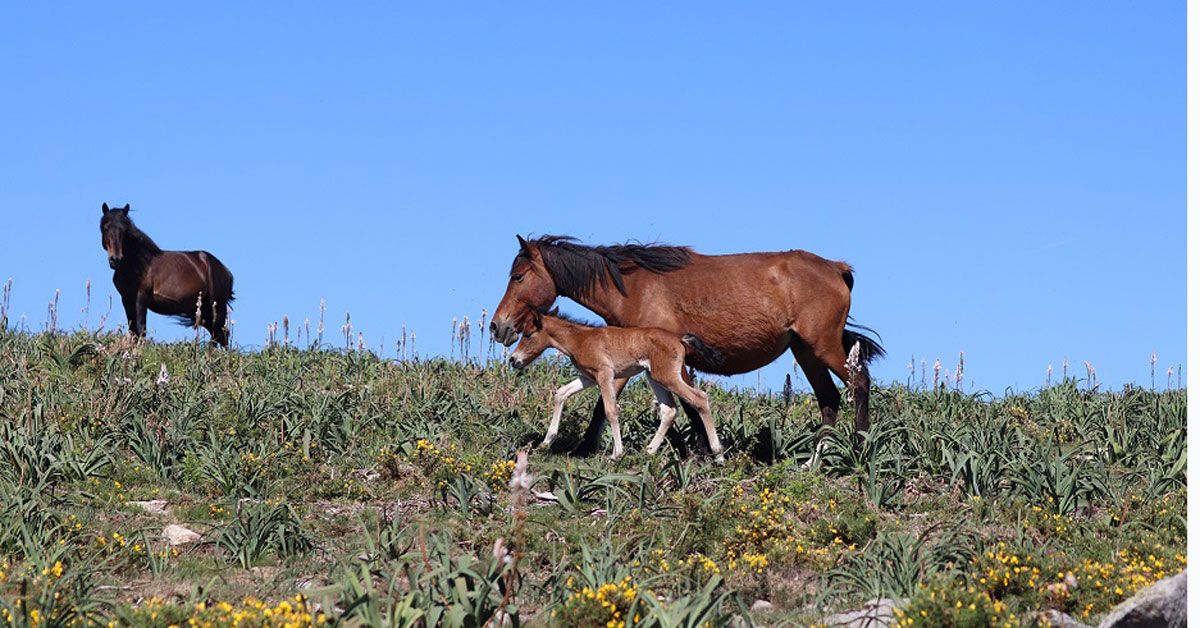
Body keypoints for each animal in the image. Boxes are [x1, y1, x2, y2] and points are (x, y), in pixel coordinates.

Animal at [98, 204, 234, 345]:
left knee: (220, 335)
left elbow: (141, 330)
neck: (137, 264)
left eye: (125, 230)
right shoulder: (126, 299)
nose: (115, 259)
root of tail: (226, 271)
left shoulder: (141, 297)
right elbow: (133, 331)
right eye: (105, 227)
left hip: (217, 307)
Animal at [506, 309, 720, 461]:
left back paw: (718, 454)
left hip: (667, 377)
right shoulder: (589, 377)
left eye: (528, 334)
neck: (580, 339)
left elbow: (610, 410)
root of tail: (680, 339)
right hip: (655, 377)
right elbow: (561, 393)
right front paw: (546, 442)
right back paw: (649, 451)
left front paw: (617, 454)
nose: (513, 360)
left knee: (700, 398)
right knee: (669, 410)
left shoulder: (604, 374)